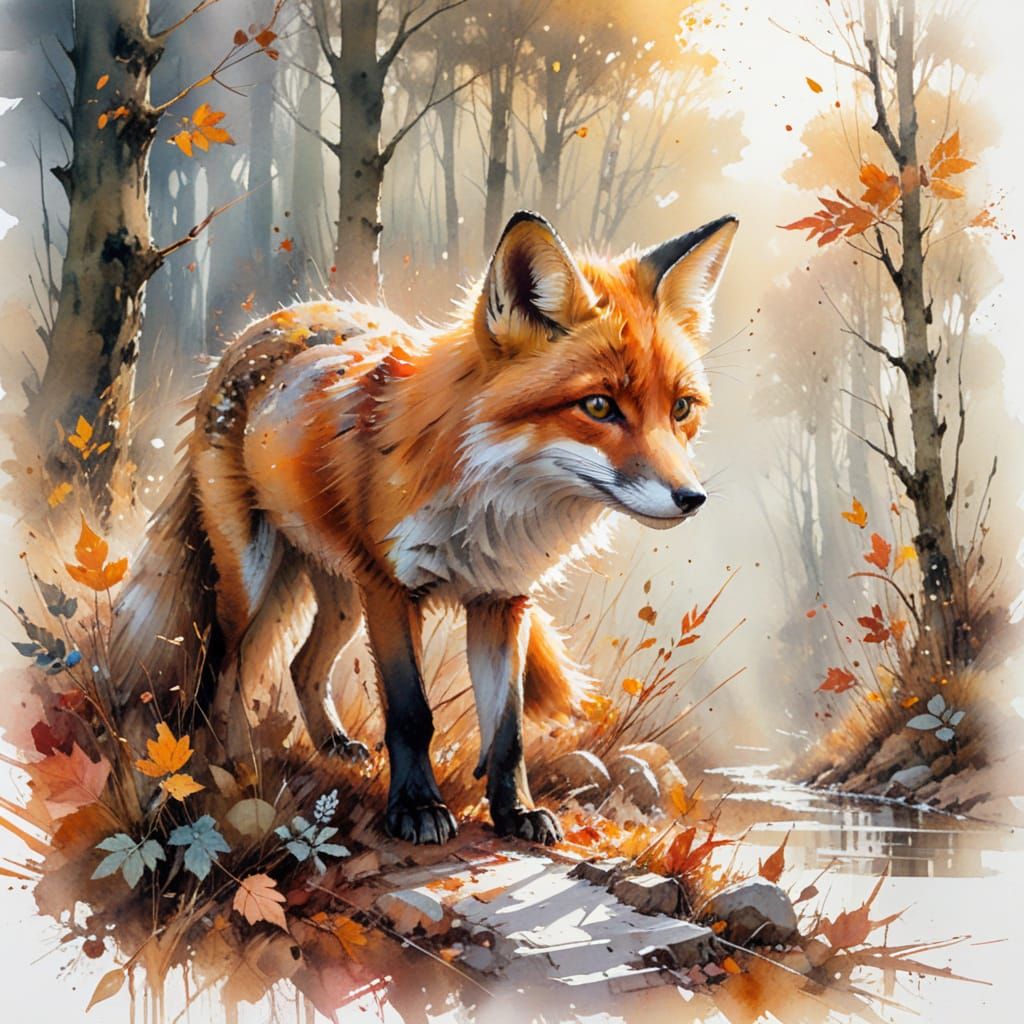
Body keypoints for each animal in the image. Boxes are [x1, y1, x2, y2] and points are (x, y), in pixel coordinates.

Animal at [111, 210, 737, 846]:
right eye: (599, 406)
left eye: (681, 409)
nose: (692, 499)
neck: (490, 508)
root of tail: (267, 323)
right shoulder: (392, 590)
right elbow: (412, 714)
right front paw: (415, 808)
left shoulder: (500, 600)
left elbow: (507, 731)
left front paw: (514, 813)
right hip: (256, 580)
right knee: (227, 669)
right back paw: (231, 766)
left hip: (343, 596)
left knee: (301, 664)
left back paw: (330, 747)